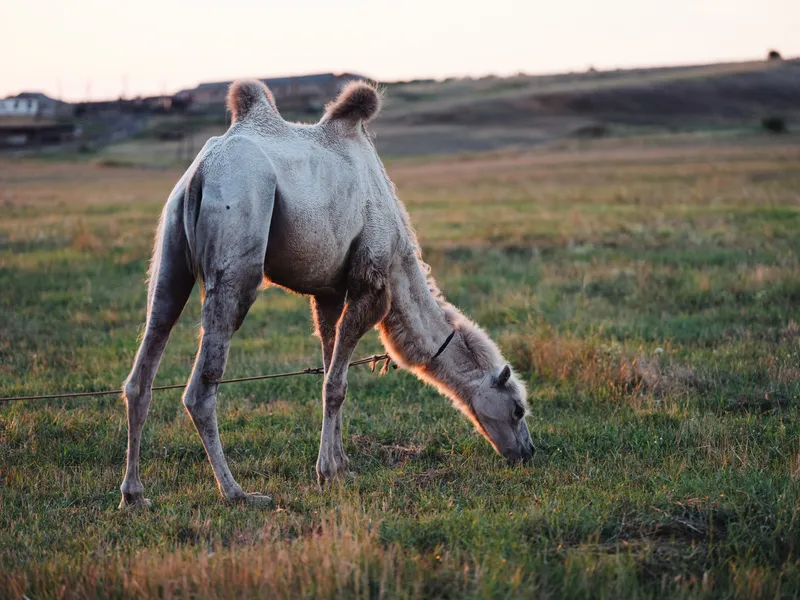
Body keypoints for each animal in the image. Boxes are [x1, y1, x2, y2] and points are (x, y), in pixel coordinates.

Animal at [119, 80, 533, 508]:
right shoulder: (370, 286)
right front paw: (328, 472)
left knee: (144, 363)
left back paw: (134, 494)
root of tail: (201, 172)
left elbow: (329, 370)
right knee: (201, 389)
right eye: (518, 409)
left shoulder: (328, 294)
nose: (528, 452)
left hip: (170, 256)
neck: (401, 260)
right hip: (238, 246)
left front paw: (341, 465)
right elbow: (337, 385)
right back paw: (238, 493)